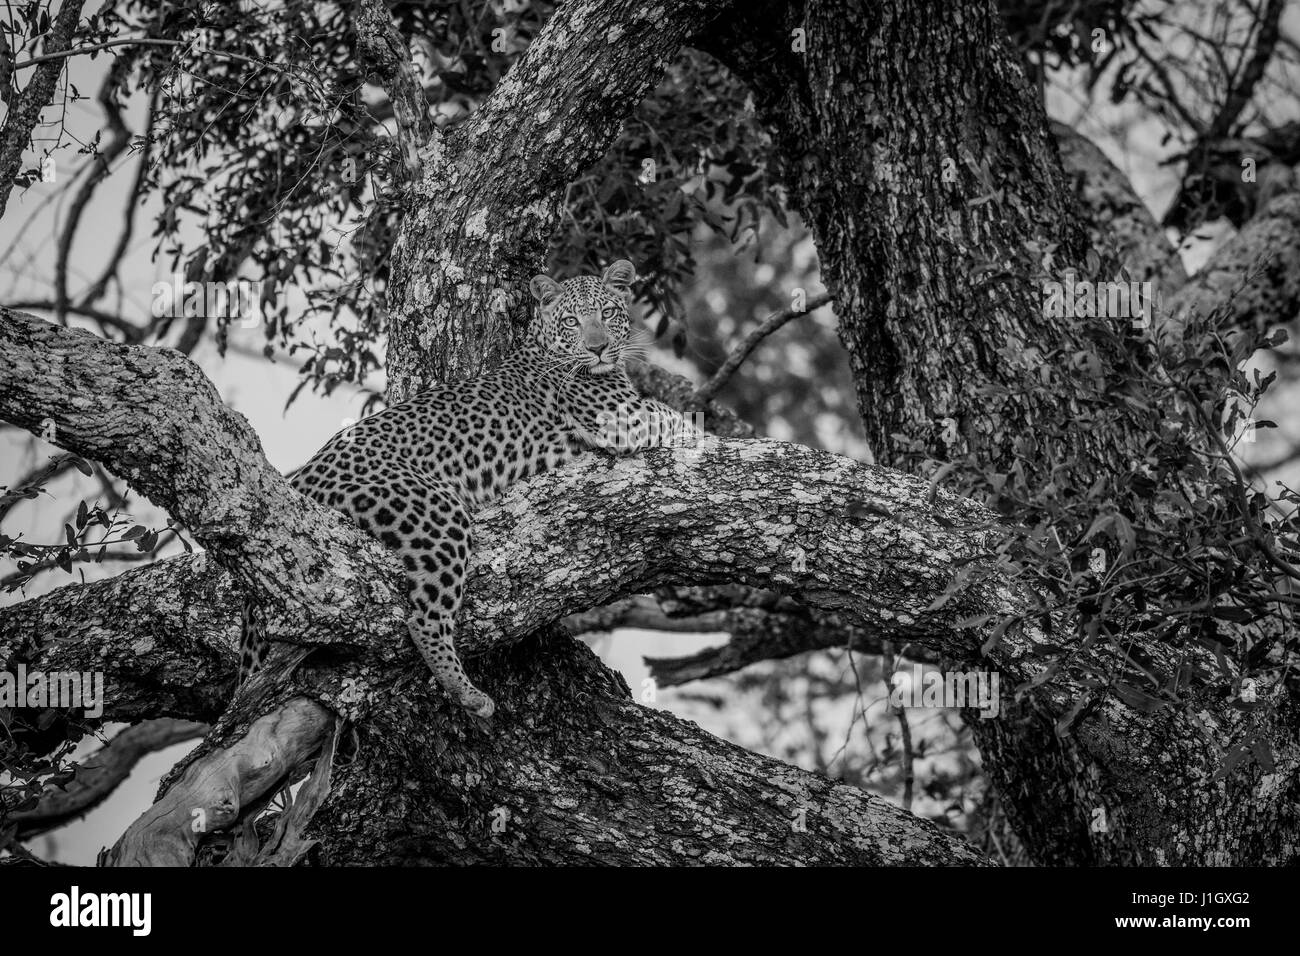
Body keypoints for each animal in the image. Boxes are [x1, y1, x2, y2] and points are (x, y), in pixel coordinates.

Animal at [238, 259, 701, 718]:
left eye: (607, 313)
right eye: (572, 321)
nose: (599, 348)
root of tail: (303, 474)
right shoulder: (621, 419)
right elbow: (673, 415)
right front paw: (701, 430)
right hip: (437, 514)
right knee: (423, 620)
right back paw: (470, 695)